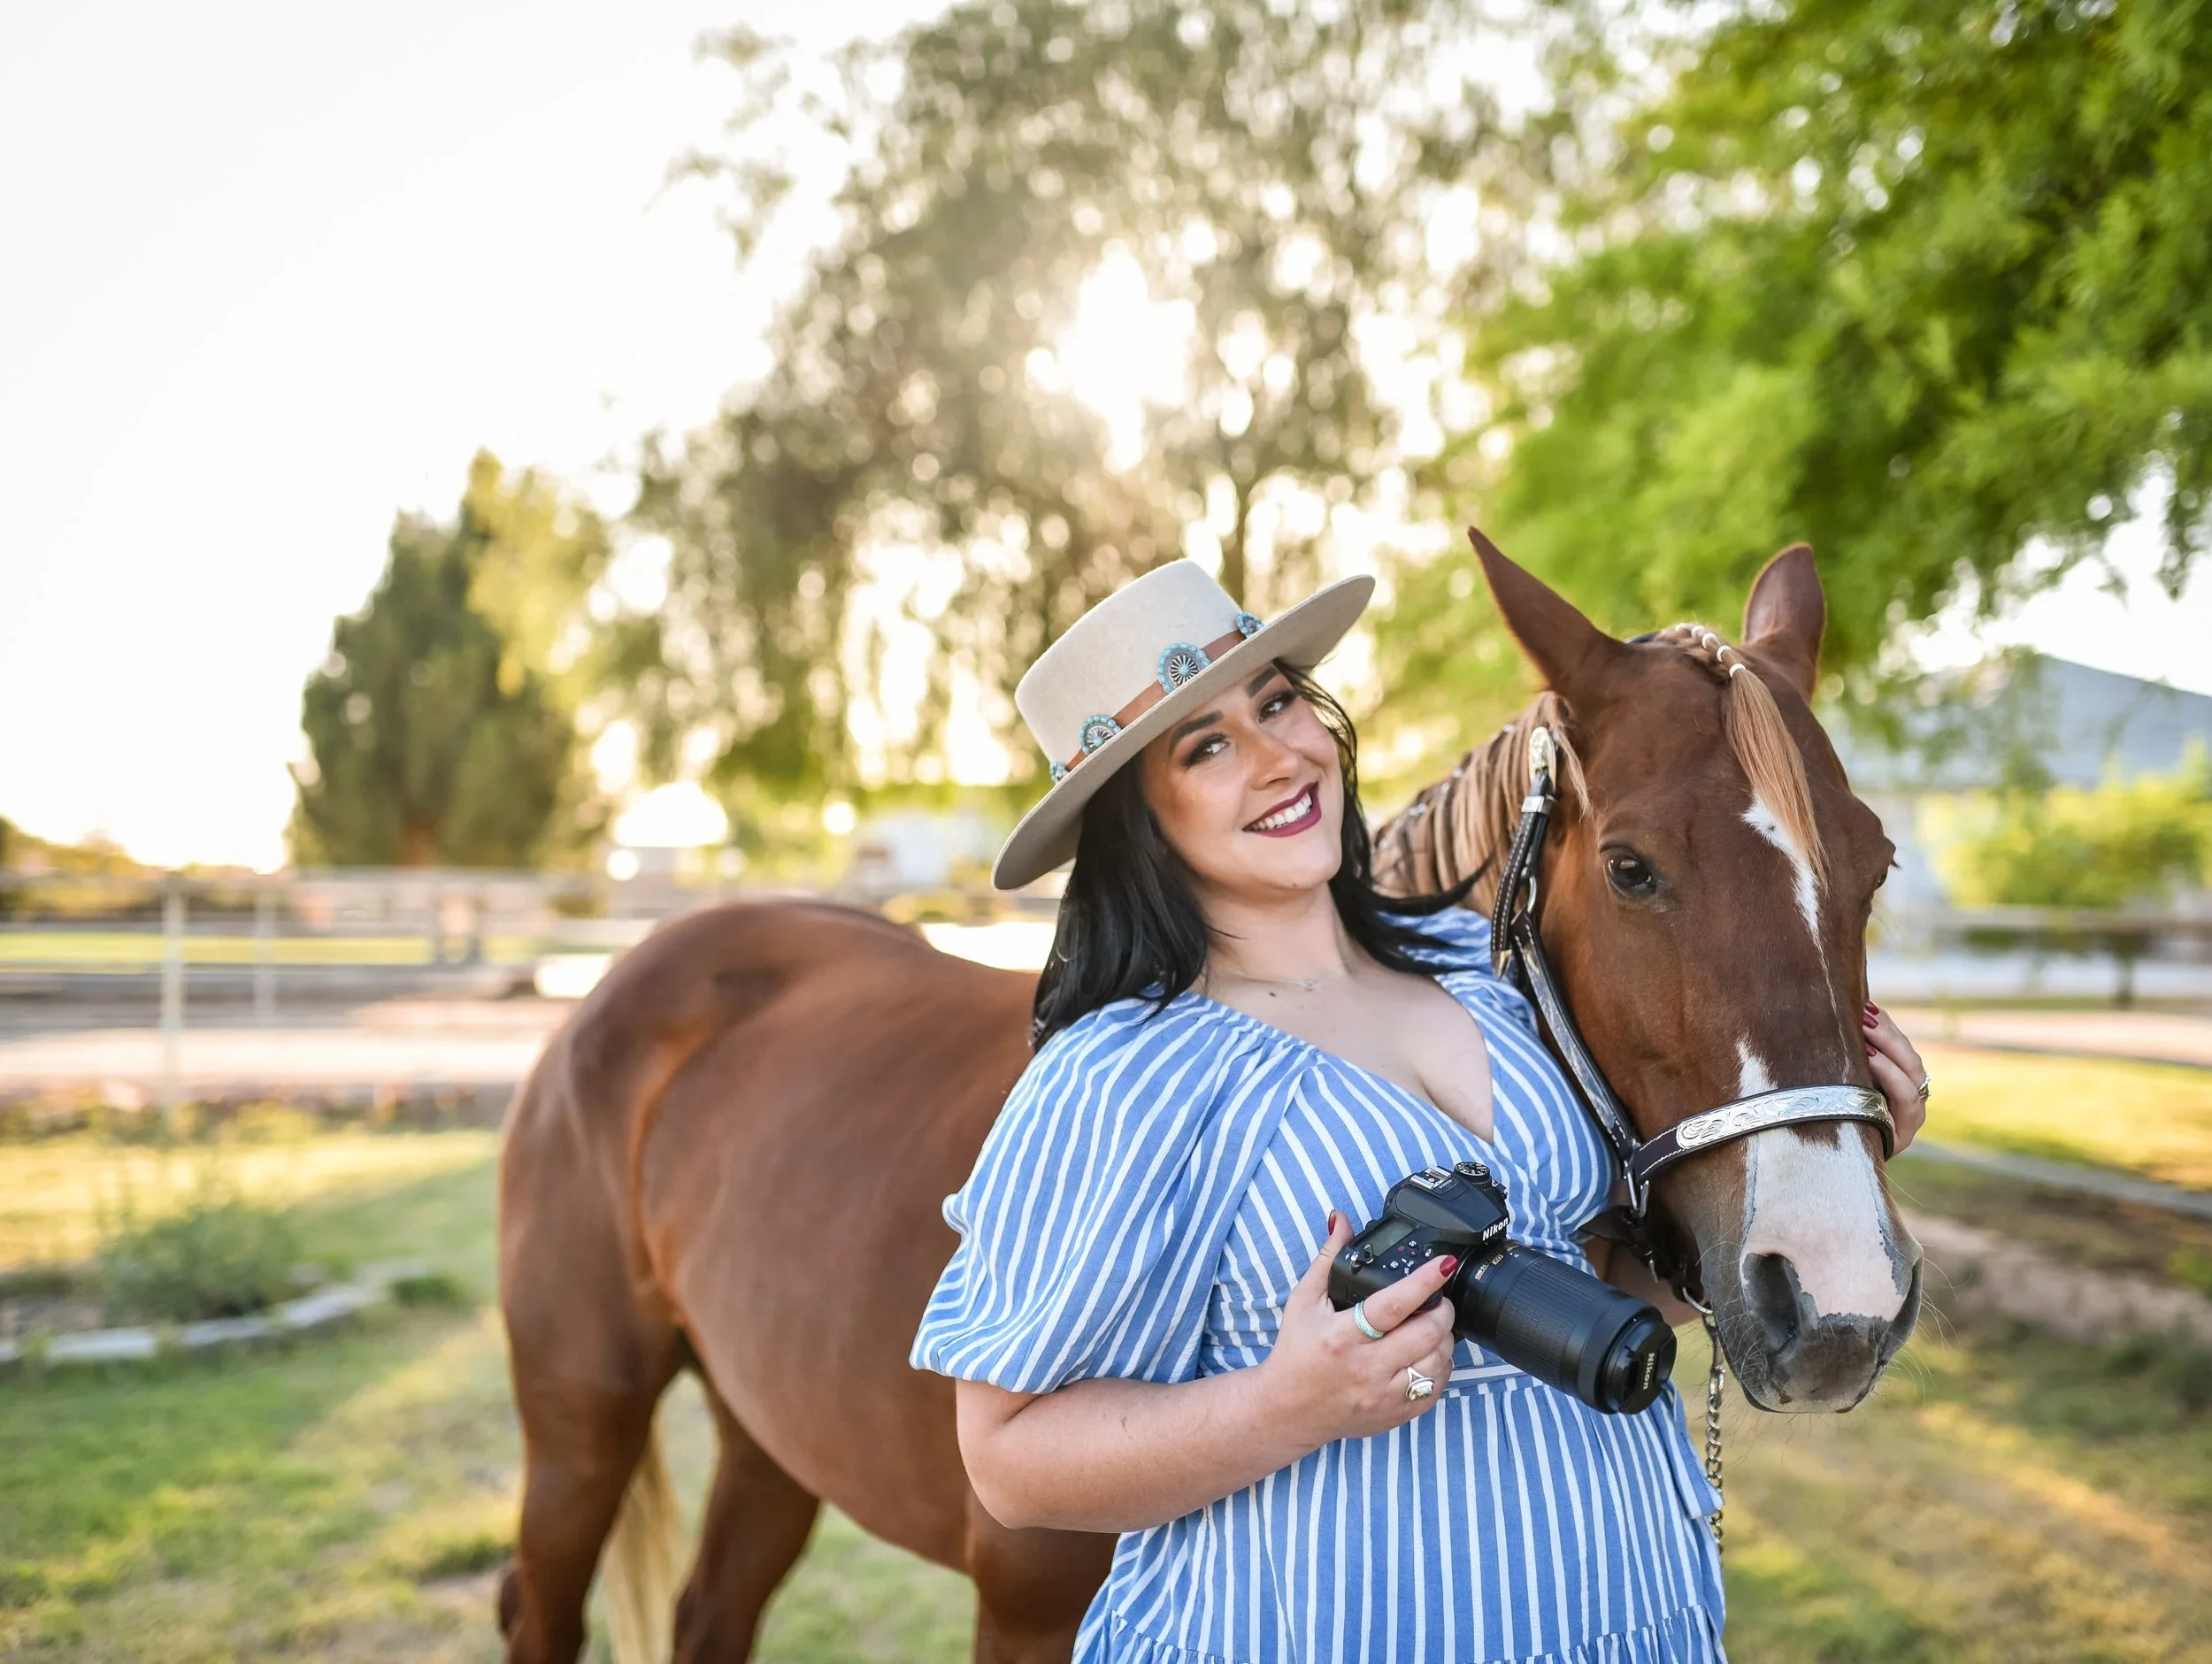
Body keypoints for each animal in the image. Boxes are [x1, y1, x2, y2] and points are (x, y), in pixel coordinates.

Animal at [494, 536, 1923, 1663]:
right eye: (1630, 869)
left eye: (1875, 864)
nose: (1838, 1299)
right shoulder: (1022, 1616)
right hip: (582, 1423)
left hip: (767, 1430)